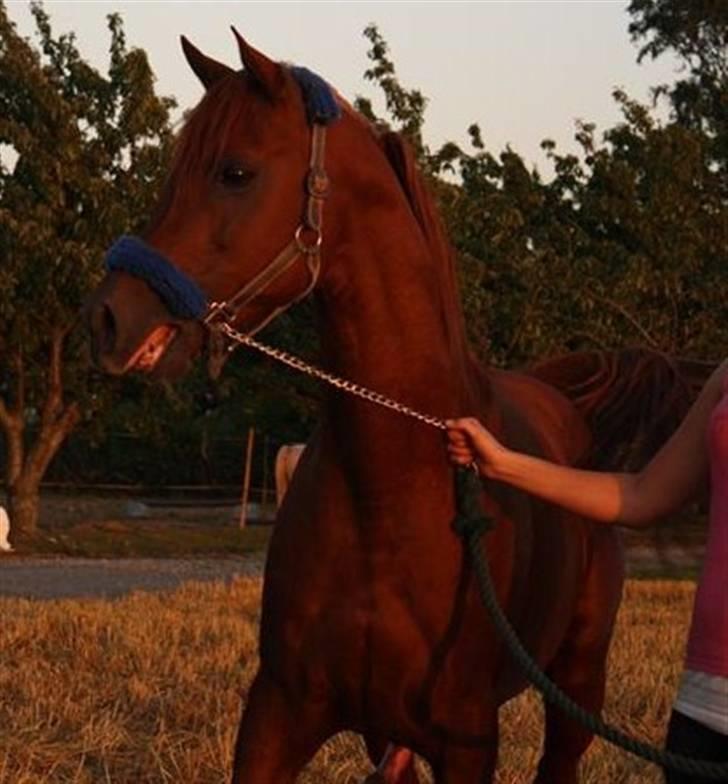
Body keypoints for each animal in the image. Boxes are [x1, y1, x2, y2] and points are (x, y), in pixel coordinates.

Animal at [85, 32, 670, 783]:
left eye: (236, 172)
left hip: (576, 689)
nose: (107, 318)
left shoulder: (466, 740)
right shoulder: (277, 713)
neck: (392, 487)